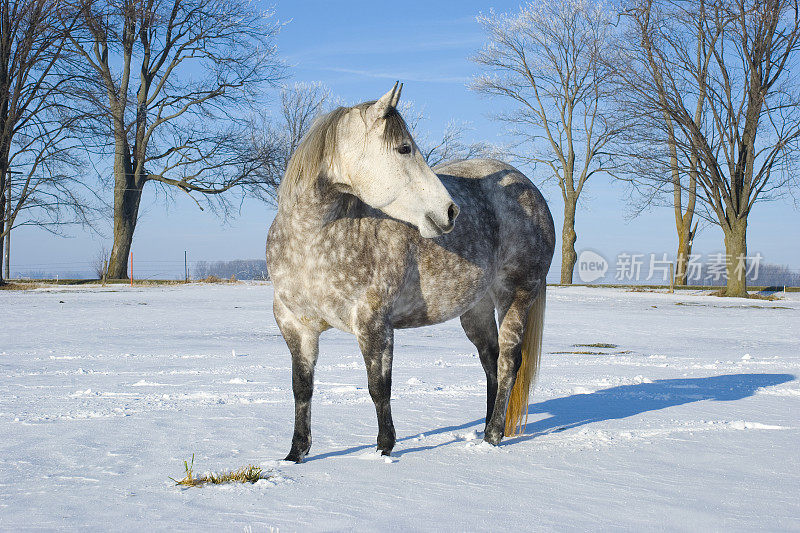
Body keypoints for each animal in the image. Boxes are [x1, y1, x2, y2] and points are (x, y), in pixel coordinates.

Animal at [266, 83, 552, 462]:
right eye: (404, 148)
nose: (450, 212)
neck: (313, 240)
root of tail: (531, 190)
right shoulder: (295, 325)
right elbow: (302, 388)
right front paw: (296, 453)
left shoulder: (374, 323)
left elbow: (378, 388)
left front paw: (384, 449)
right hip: (475, 308)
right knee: (490, 361)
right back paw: (487, 427)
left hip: (516, 296)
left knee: (508, 362)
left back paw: (493, 435)